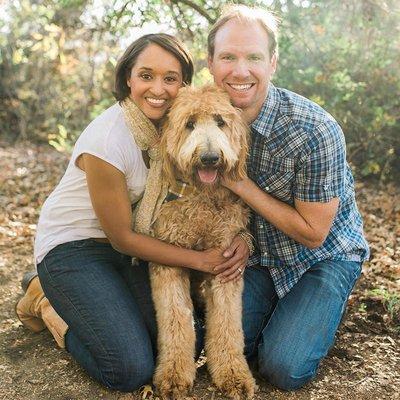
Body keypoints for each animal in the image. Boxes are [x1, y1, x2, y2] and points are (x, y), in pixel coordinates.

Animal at [150, 85, 256, 400]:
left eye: (220, 122)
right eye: (189, 124)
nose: (210, 157)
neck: (201, 197)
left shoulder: (225, 261)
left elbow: (227, 323)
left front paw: (233, 374)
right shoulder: (168, 261)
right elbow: (176, 321)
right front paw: (173, 375)